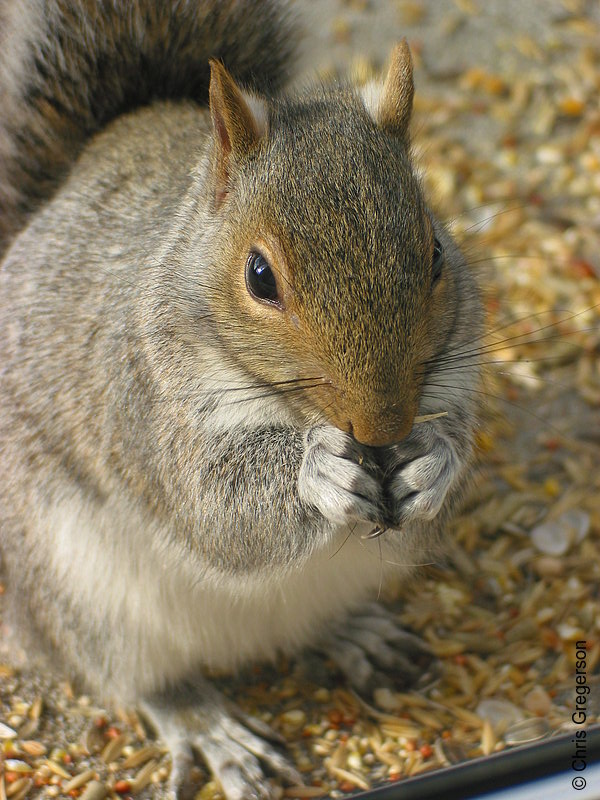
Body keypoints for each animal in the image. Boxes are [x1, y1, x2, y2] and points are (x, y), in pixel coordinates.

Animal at [0, 3, 482, 796]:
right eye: (259, 276)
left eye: (437, 253)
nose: (385, 426)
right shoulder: (142, 402)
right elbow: (214, 511)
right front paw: (316, 473)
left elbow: (458, 446)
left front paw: (433, 462)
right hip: (83, 594)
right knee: (140, 679)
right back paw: (211, 727)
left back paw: (354, 634)